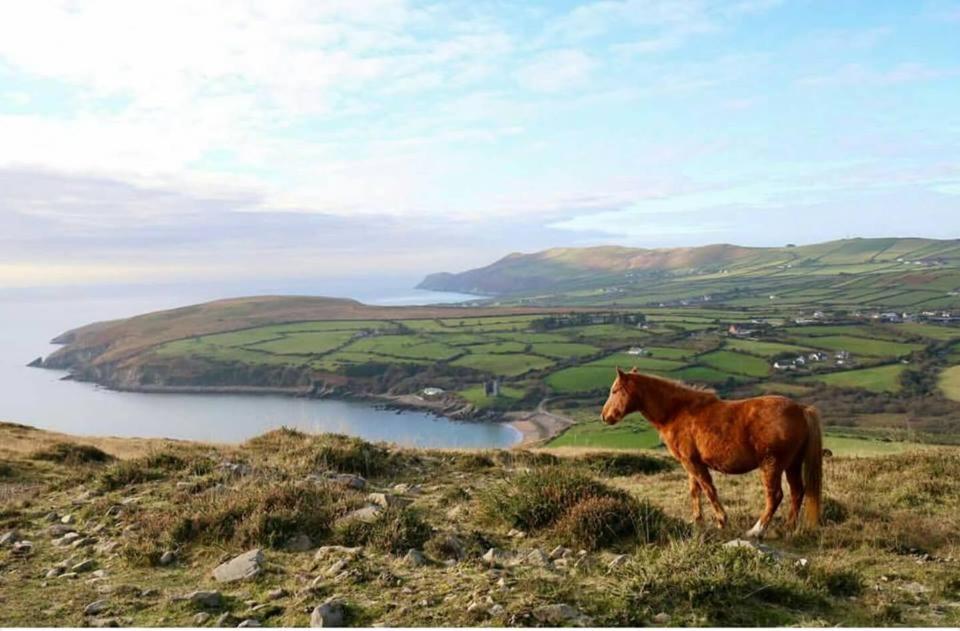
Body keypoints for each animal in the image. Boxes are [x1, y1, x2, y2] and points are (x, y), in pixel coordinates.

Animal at [600, 370, 816, 540]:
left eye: (614, 391)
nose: (604, 416)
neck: (676, 412)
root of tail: (800, 410)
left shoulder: (693, 463)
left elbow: (708, 490)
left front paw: (721, 521)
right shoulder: (690, 463)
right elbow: (695, 491)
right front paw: (697, 521)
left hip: (771, 465)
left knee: (775, 496)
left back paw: (757, 531)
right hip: (792, 464)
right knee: (797, 492)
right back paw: (789, 528)